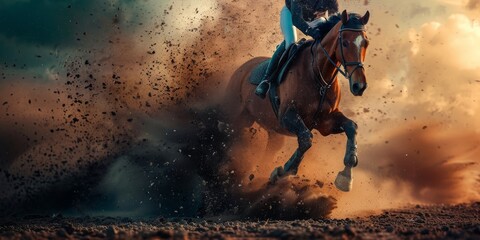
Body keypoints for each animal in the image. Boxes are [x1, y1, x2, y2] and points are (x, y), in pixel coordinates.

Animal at [222, 10, 372, 192]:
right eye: (344, 42)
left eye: (366, 42)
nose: (359, 86)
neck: (319, 77)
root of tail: (242, 68)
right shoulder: (287, 116)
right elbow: (306, 139)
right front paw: (284, 171)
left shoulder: (326, 123)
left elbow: (351, 127)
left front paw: (346, 176)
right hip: (236, 114)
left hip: (270, 129)